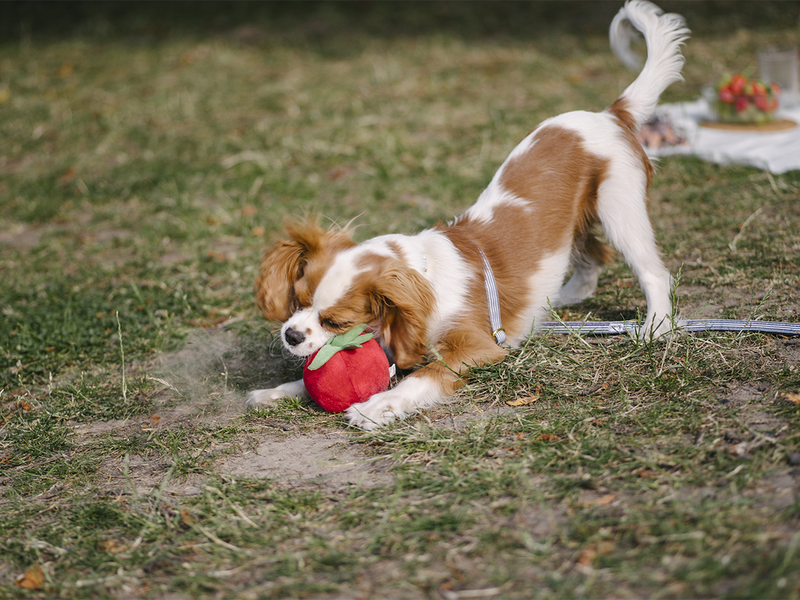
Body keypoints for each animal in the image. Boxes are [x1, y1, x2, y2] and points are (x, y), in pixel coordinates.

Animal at [247, 1, 692, 432]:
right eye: (298, 301)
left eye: (336, 322)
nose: (290, 334)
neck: (424, 280)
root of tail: (610, 114)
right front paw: (278, 391)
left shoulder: (478, 345)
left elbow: (421, 376)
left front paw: (378, 406)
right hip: (579, 219)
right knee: (592, 258)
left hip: (620, 208)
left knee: (652, 272)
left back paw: (656, 327)